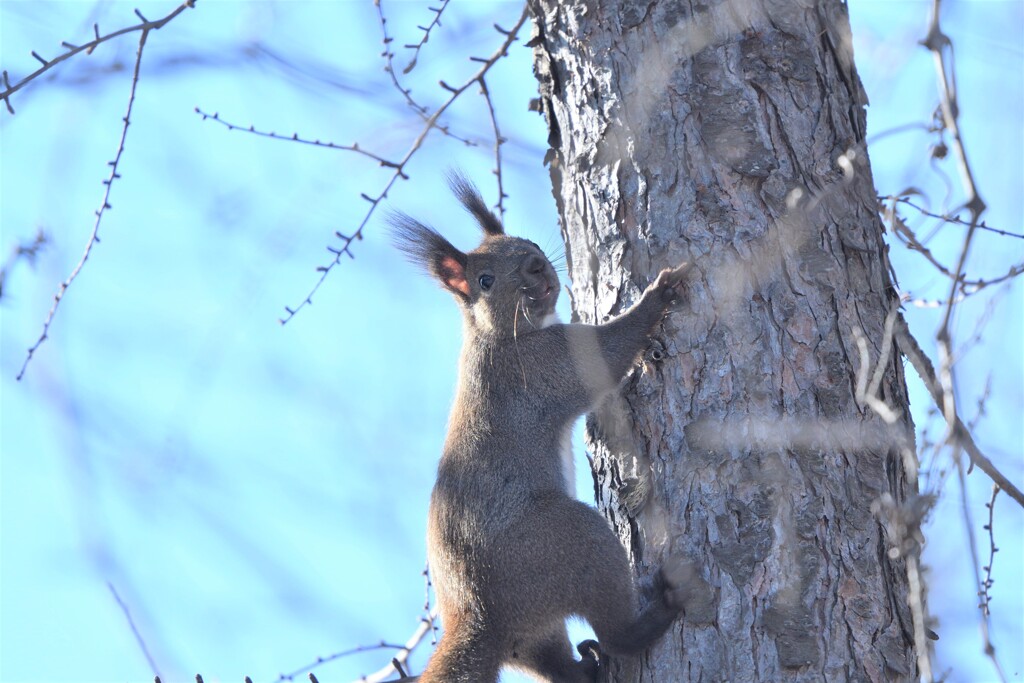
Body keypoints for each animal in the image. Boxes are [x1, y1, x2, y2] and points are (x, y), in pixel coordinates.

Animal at [391, 175, 704, 683]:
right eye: (485, 281)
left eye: (530, 243)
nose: (536, 265)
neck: (499, 335)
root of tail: (481, 619)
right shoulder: (545, 367)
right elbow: (607, 352)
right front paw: (658, 295)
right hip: (565, 544)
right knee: (614, 629)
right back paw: (651, 617)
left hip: (535, 635)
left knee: (554, 661)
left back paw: (587, 668)